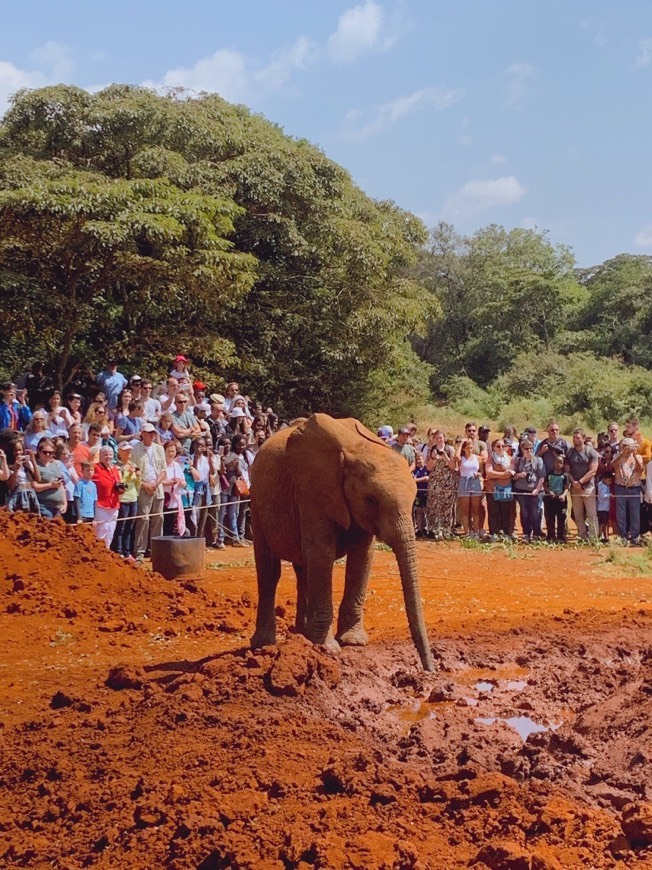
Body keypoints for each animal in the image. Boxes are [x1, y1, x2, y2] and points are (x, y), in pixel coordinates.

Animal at [248, 412, 432, 672]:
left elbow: (362, 556)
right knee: (269, 570)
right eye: (371, 499)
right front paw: (327, 648)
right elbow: (322, 553)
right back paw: (264, 645)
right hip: (257, 501)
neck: (358, 451)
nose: (429, 669)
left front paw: (353, 642)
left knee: (304, 569)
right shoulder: (311, 490)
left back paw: (303, 636)